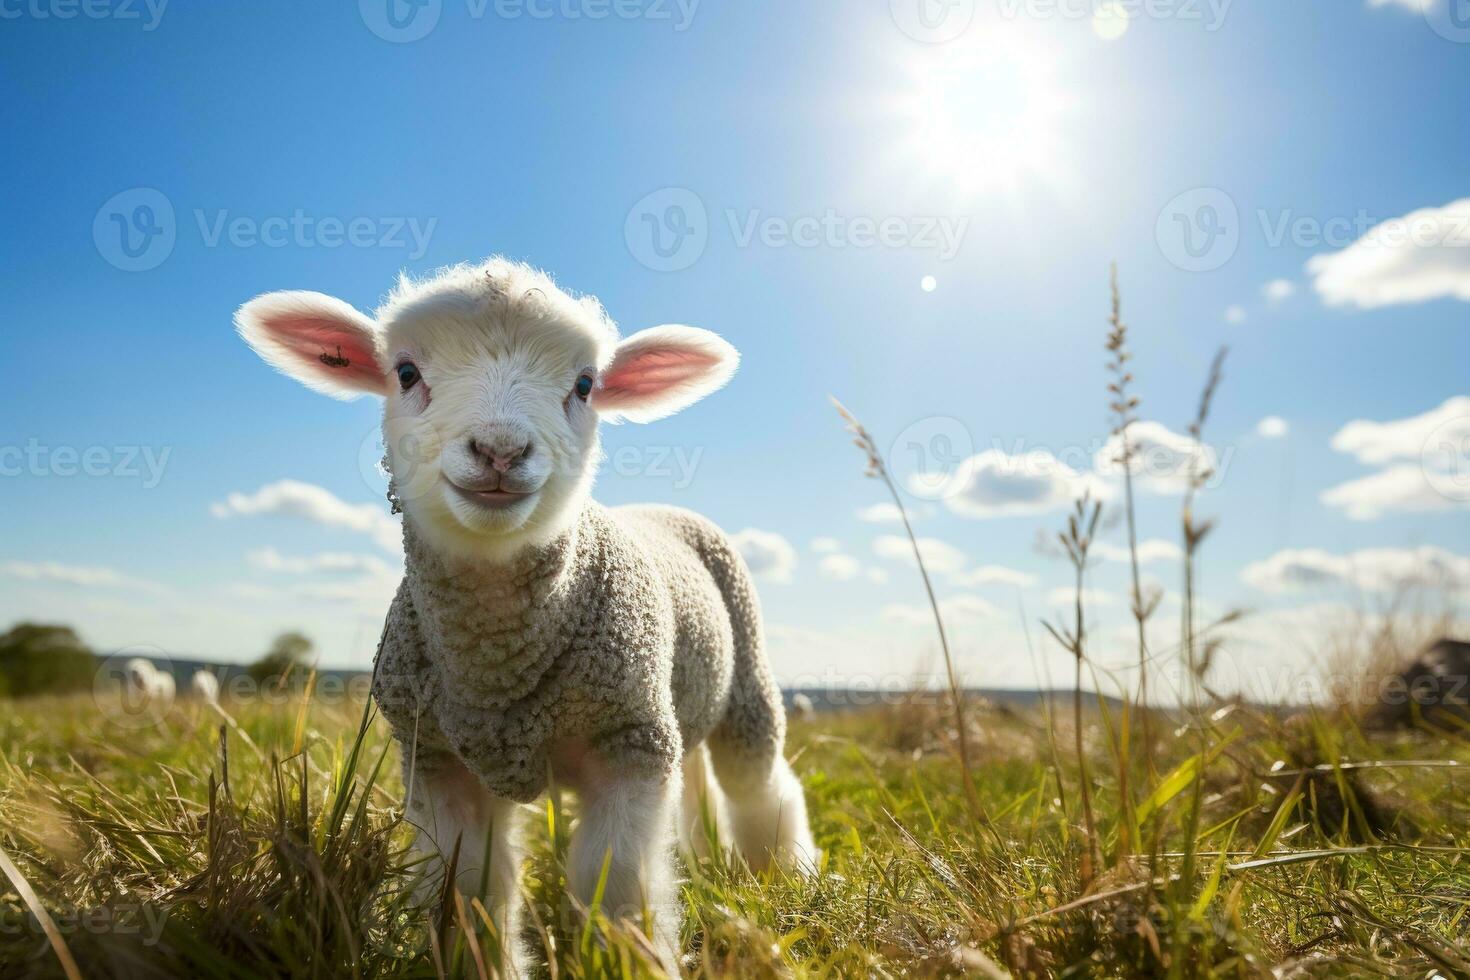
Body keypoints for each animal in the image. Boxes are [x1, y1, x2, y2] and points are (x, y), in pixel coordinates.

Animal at [235, 255, 823, 975]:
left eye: (585, 384)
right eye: (406, 373)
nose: (500, 451)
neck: (497, 663)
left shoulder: (627, 740)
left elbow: (616, 884)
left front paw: (632, 958)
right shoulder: (437, 758)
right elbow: (470, 892)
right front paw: (487, 960)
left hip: (739, 686)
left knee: (759, 786)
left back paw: (783, 876)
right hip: (674, 708)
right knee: (695, 786)